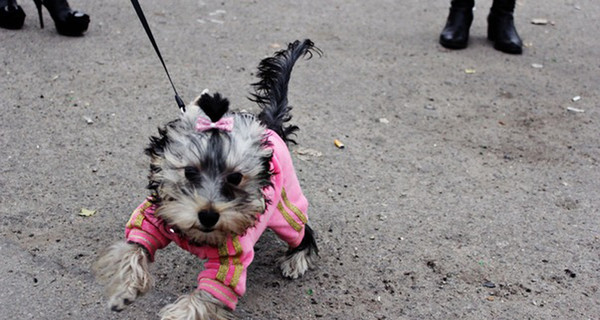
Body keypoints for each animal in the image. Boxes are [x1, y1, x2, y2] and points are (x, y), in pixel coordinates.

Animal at [94, 40, 318, 320]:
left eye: (235, 177)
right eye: (190, 172)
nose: (208, 216)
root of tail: (269, 126)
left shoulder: (231, 260)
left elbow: (207, 294)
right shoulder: (153, 218)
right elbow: (133, 247)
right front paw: (124, 289)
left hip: (285, 208)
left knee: (301, 230)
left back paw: (296, 259)